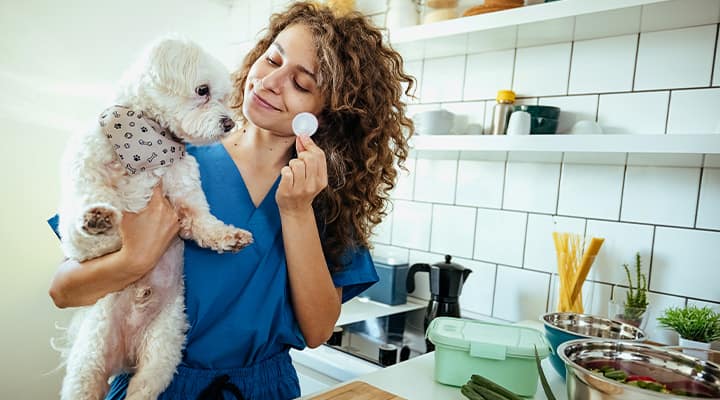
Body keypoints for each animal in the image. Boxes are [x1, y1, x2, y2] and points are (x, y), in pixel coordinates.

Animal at [55, 37, 253, 400]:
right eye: (203, 90)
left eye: (222, 97)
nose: (229, 123)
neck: (149, 146)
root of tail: (125, 356)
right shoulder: (84, 206)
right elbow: (86, 207)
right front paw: (96, 216)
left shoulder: (186, 195)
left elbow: (203, 222)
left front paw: (229, 237)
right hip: (89, 360)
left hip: (162, 350)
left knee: (142, 388)